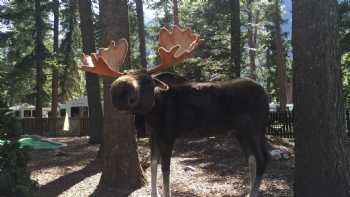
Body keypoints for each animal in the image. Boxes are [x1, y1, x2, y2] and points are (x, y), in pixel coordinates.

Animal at [80, 25, 270, 197]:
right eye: (124, 75)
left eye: (146, 80)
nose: (119, 91)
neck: (153, 113)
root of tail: (265, 94)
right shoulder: (153, 136)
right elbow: (153, 165)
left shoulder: (168, 135)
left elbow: (165, 170)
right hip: (239, 131)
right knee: (252, 159)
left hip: (253, 128)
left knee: (262, 158)